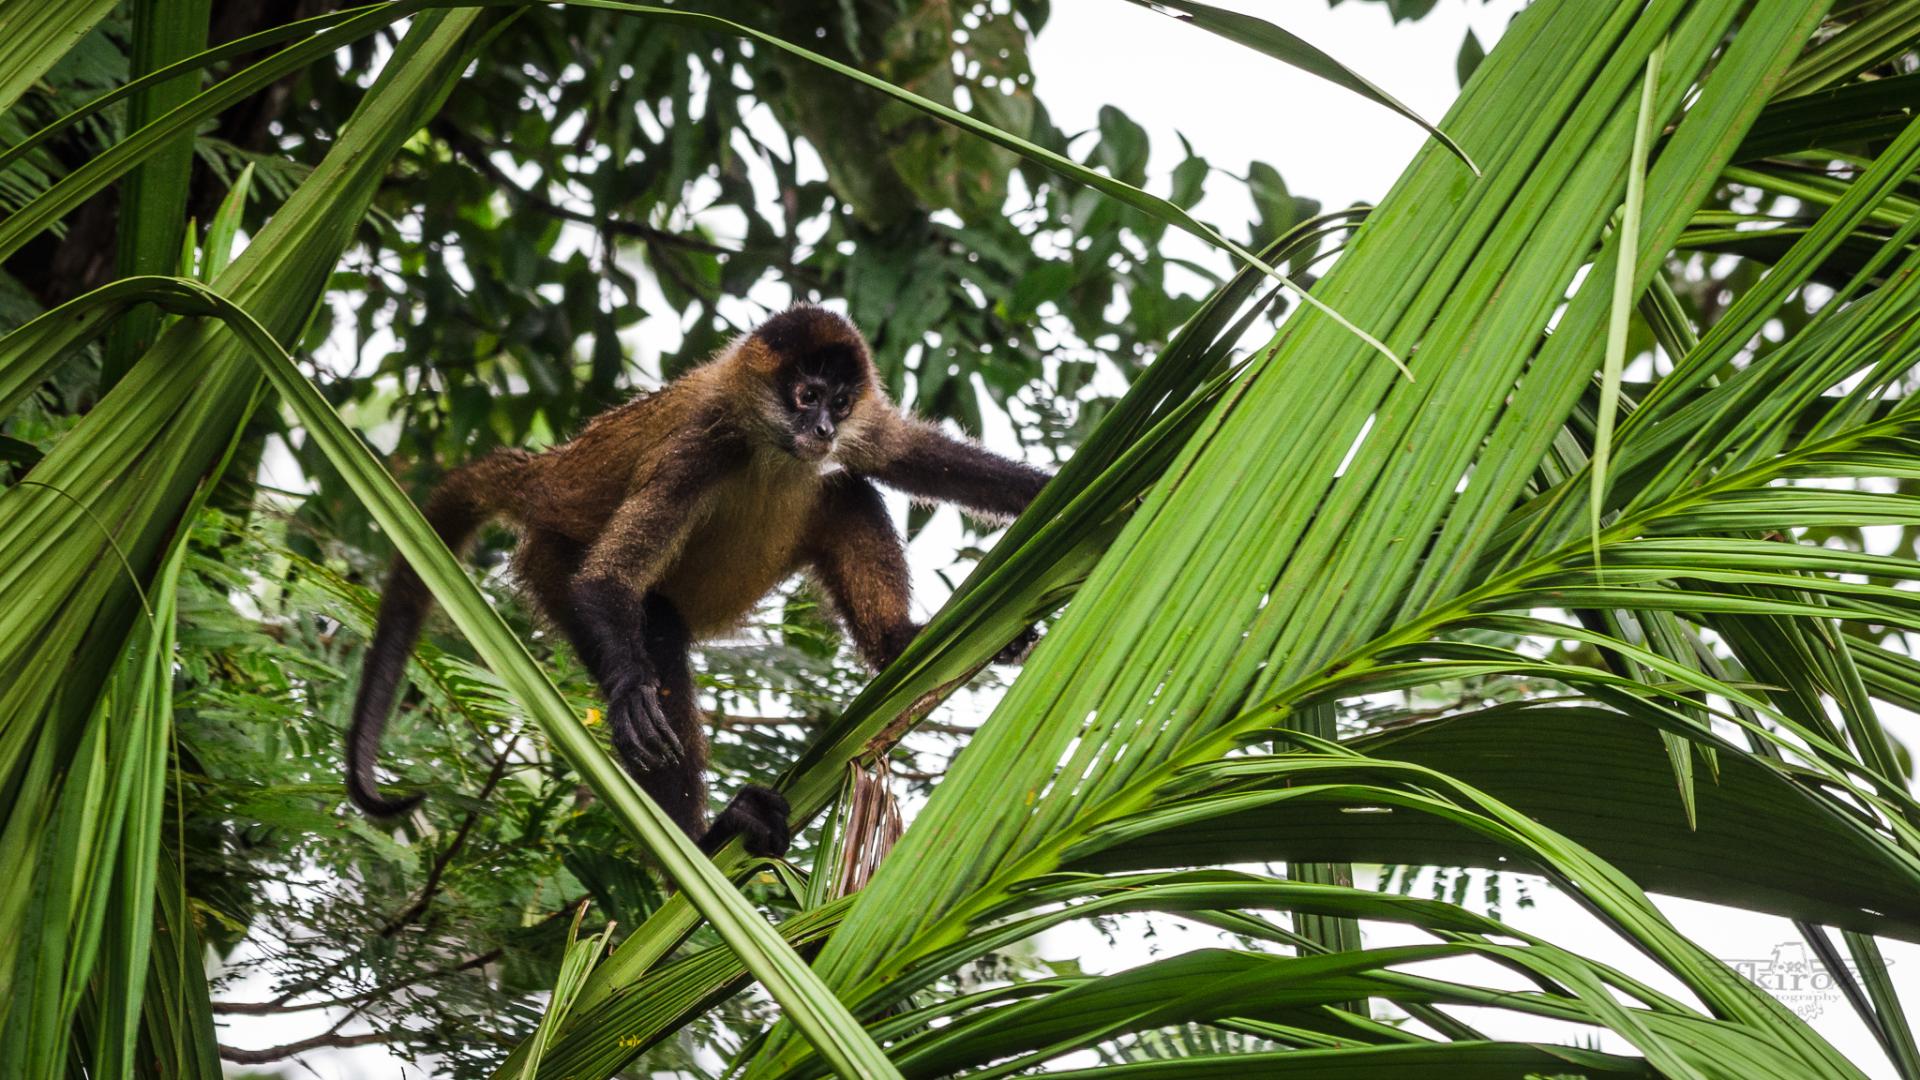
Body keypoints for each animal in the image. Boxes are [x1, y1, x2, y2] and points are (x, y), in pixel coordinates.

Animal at [353, 305, 1059, 857]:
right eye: (806, 396)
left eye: (838, 402)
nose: (824, 428)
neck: (767, 442)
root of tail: (545, 474)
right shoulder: (699, 446)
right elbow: (606, 583)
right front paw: (632, 690)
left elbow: (910, 455)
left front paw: (1056, 492)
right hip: (552, 557)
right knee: (656, 619)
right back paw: (699, 840)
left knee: (844, 491)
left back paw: (895, 642)